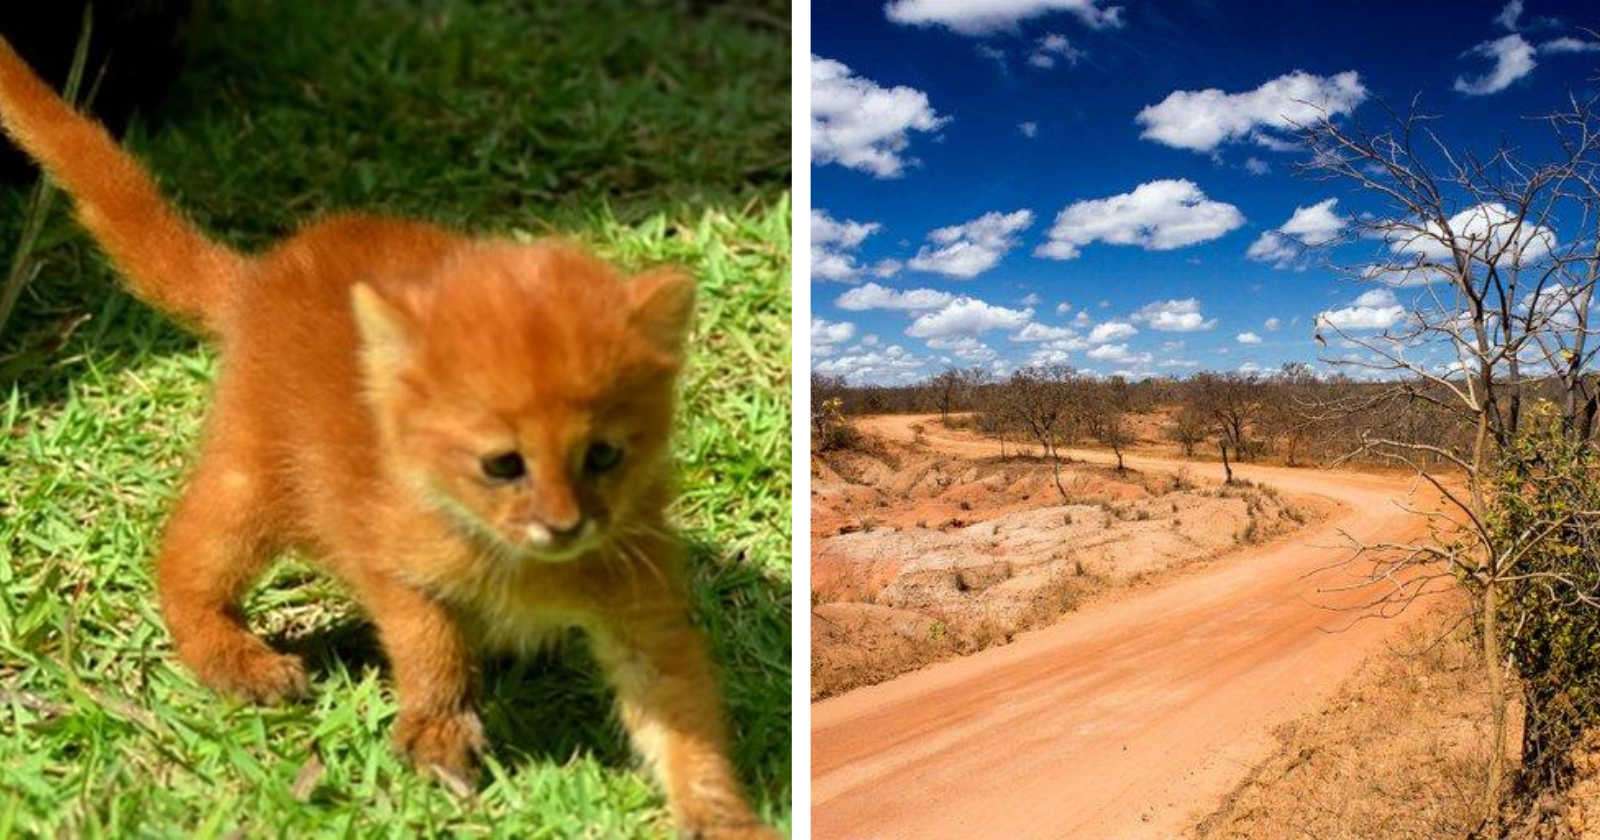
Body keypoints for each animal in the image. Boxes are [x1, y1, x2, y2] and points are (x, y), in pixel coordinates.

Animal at [0, 36, 774, 832]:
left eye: (605, 455)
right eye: (503, 464)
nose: (564, 527)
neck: (520, 566)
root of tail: (256, 276)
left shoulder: (646, 613)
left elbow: (685, 721)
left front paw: (722, 815)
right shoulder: (386, 556)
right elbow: (429, 642)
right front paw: (438, 735)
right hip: (252, 478)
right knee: (182, 557)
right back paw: (242, 663)